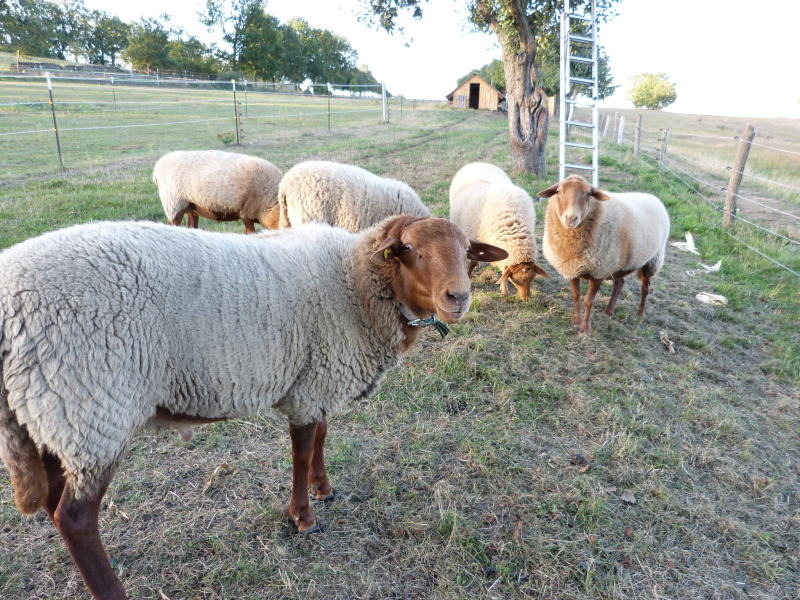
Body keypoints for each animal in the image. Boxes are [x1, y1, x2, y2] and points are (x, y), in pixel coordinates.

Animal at [0, 217, 506, 600]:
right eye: (409, 249)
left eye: (467, 250)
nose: (459, 298)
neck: (353, 280)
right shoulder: (310, 386)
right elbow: (302, 451)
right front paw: (303, 517)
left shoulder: (319, 377)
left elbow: (322, 438)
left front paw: (324, 488)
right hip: (92, 409)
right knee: (75, 519)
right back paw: (112, 593)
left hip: (52, 412)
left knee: (53, 501)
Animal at [153, 149, 284, 233]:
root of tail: (156, 169)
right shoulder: (245, 214)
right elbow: (250, 233)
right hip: (174, 204)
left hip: (192, 206)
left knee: (192, 226)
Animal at [536, 173, 668, 336]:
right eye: (559, 192)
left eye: (588, 194)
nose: (571, 218)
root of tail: (654, 197)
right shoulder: (571, 269)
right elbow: (576, 295)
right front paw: (575, 322)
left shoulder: (599, 271)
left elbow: (588, 301)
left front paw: (585, 329)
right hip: (619, 263)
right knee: (619, 283)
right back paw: (609, 310)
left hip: (652, 261)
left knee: (645, 288)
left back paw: (640, 313)